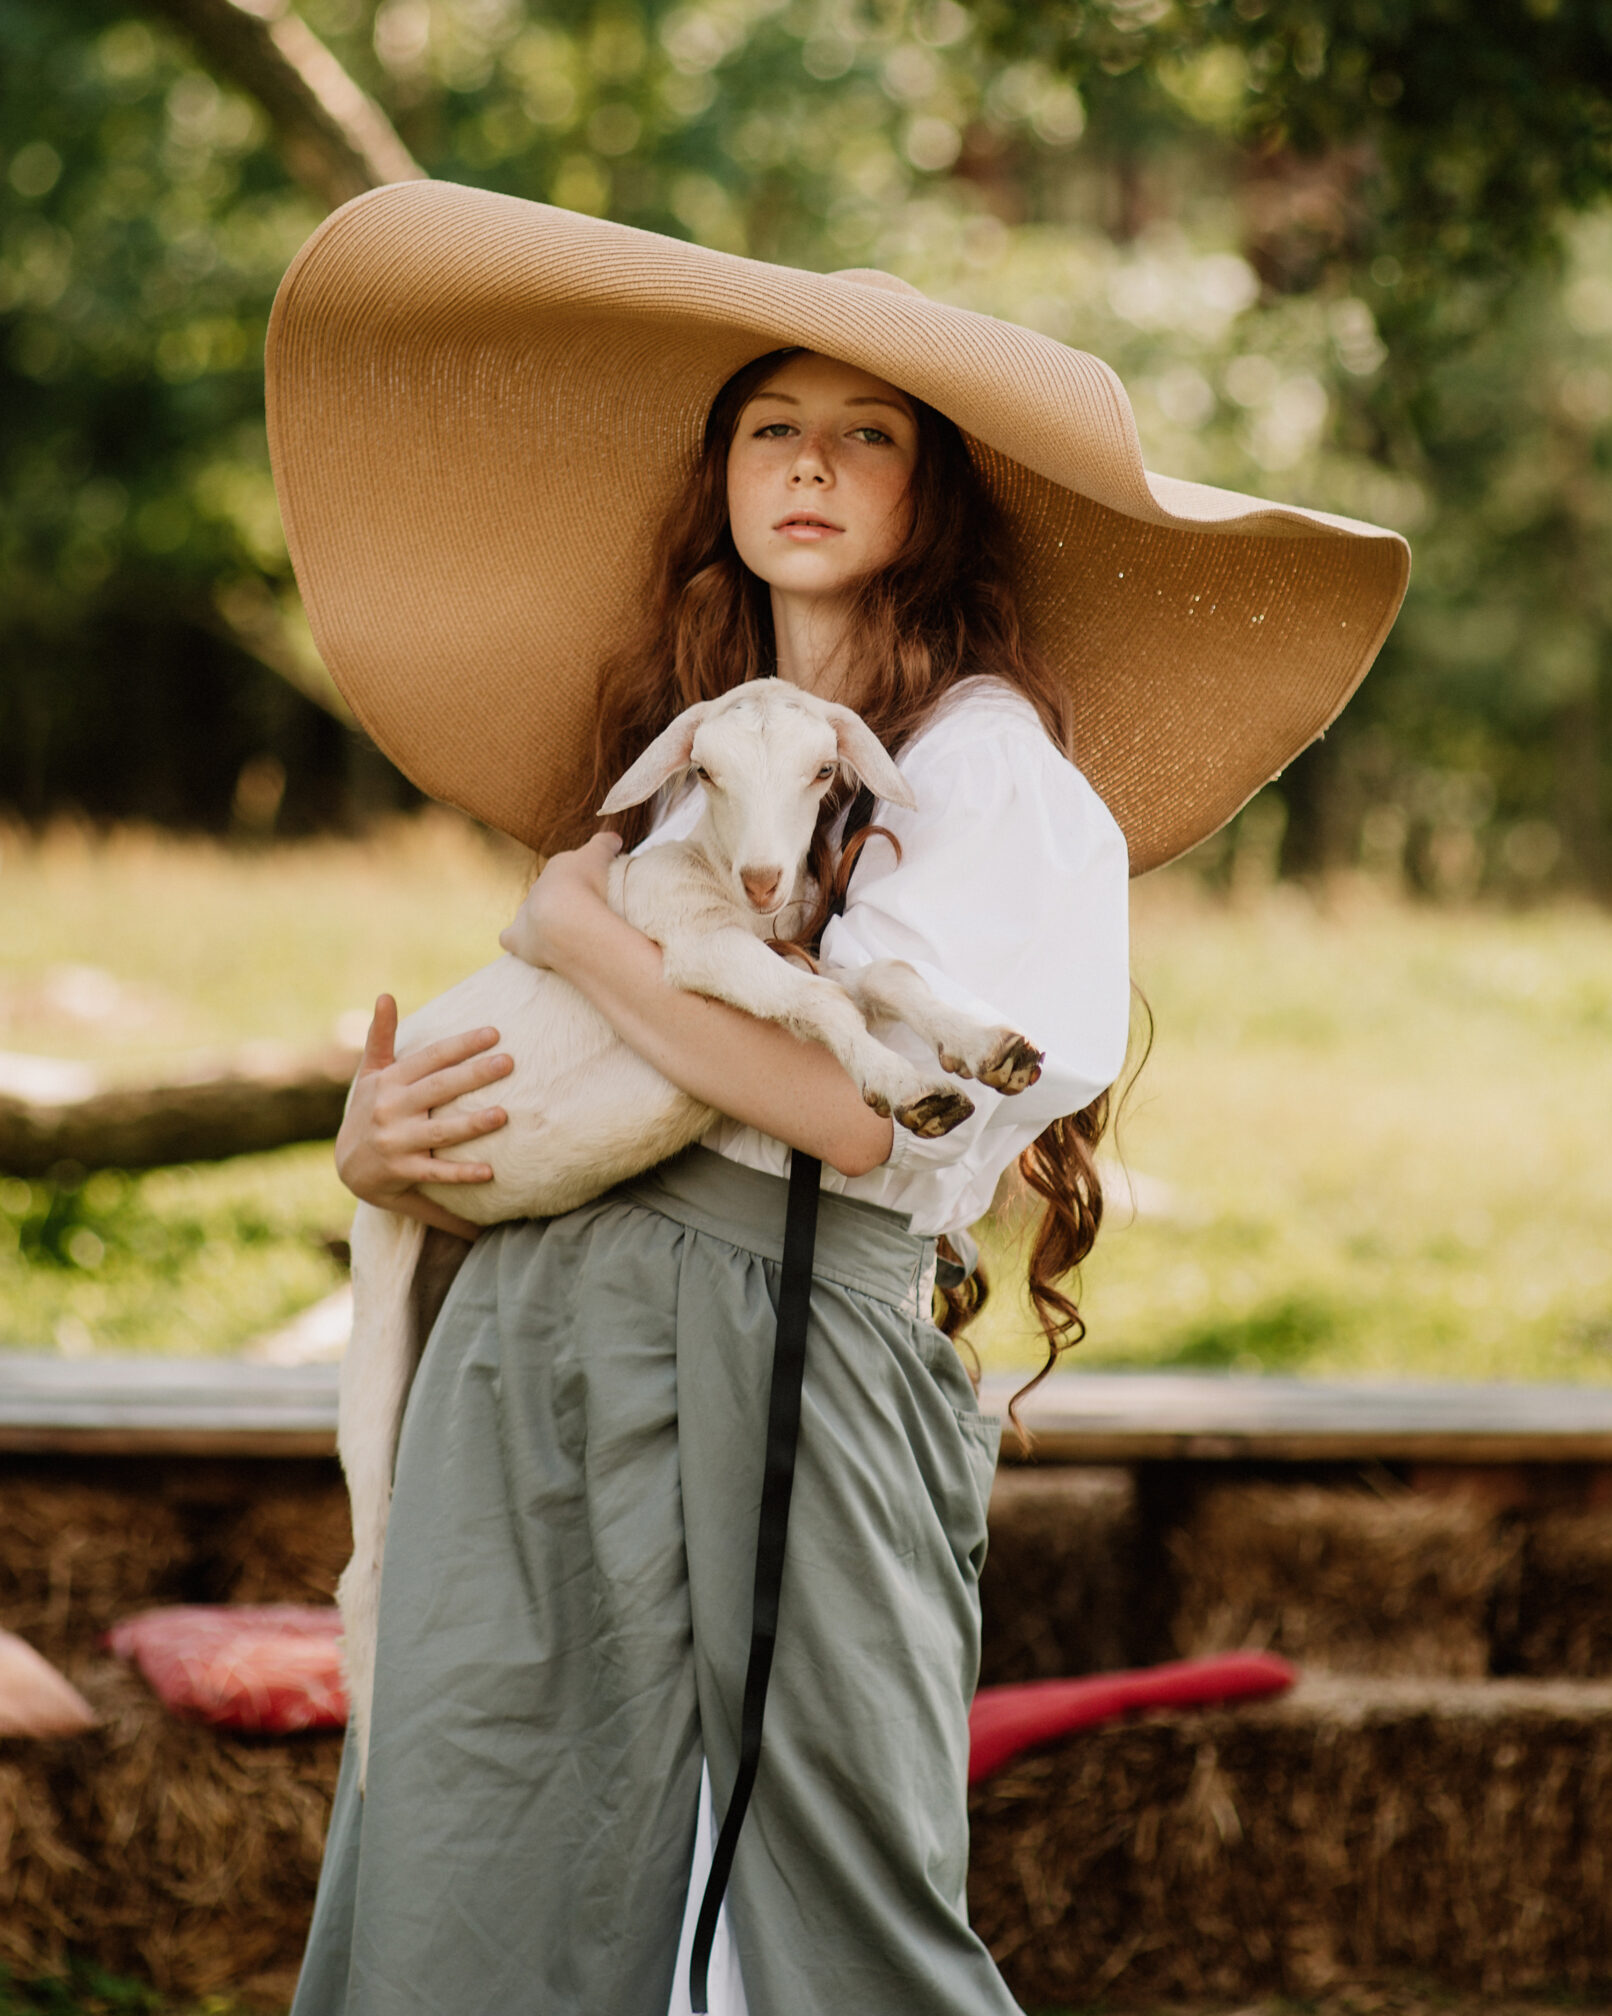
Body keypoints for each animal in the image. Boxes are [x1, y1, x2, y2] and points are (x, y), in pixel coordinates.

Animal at [342, 681, 1047, 1782]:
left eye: (822, 771)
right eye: (706, 772)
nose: (764, 876)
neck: (722, 890)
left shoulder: (783, 942)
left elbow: (880, 972)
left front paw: (990, 1048)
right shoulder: (702, 954)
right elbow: (820, 1003)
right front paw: (910, 1090)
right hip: (376, 1279)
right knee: (365, 1555)